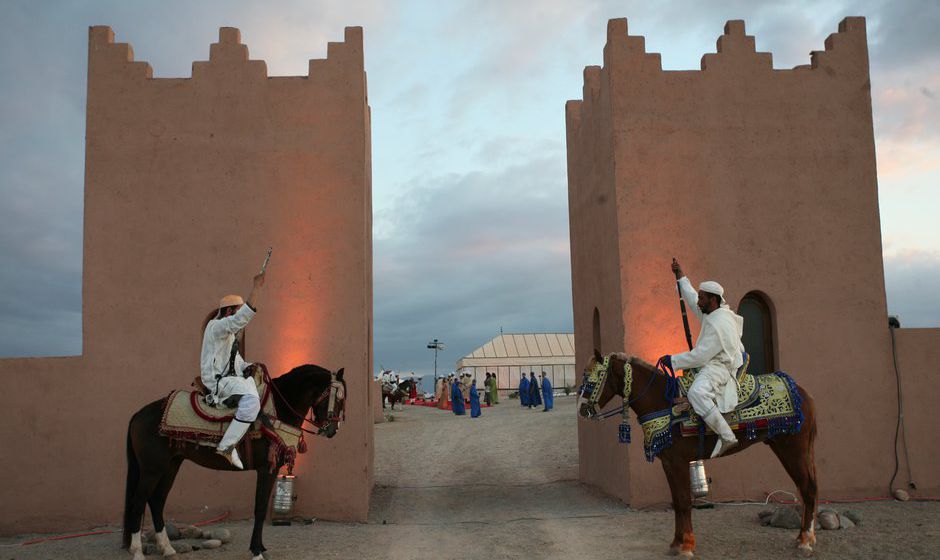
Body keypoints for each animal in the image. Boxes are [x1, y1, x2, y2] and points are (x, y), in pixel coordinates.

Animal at [124, 366, 346, 560]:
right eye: (338, 398)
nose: (332, 430)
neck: (277, 409)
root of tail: (138, 414)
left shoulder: (272, 471)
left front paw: (261, 548)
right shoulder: (266, 470)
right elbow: (260, 508)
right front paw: (256, 551)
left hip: (170, 466)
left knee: (156, 502)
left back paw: (167, 548)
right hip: (152, 469)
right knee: (138, 502)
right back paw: (138, 552)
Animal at [572, 350, 816, 556]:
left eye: (591, 379)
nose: (582, 409)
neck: (663, 402)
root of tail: (804, 394)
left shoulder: (678, 462)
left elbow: (683, 501)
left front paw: (687, 545)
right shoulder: (668, 463)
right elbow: (676, 502)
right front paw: (676, 543)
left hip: (791, 449)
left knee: (807, 488)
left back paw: (805, 541)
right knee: (807, 487)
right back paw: (805, 537)